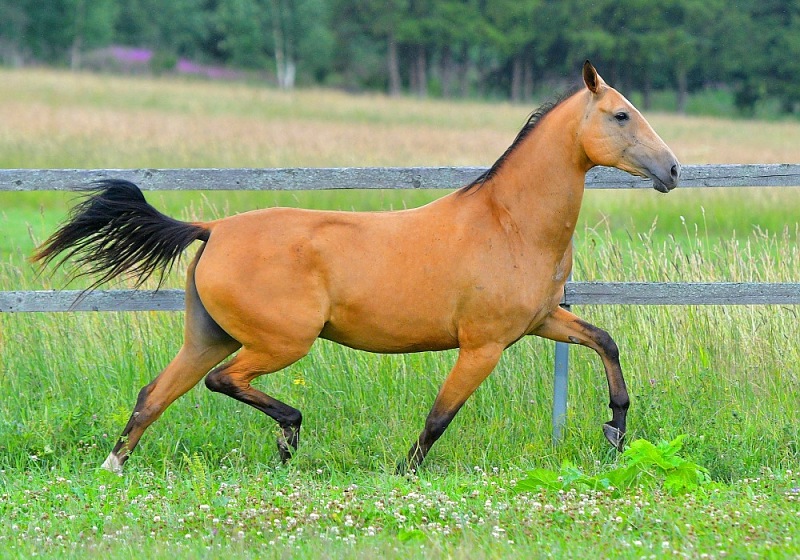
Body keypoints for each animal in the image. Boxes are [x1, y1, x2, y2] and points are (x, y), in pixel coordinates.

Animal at [32, 62, 680, 474]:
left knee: (153, 395)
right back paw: (289, 434)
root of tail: (213, 229)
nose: (673, 169)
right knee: (225, 382)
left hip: (207, 337)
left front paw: (617, 431)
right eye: (621, 116)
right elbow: (439, 416)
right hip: (281, 342)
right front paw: (404, 471)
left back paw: (113, 468)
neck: (509, 223)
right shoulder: (484, 345)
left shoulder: (543, 320)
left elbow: (605, 341)